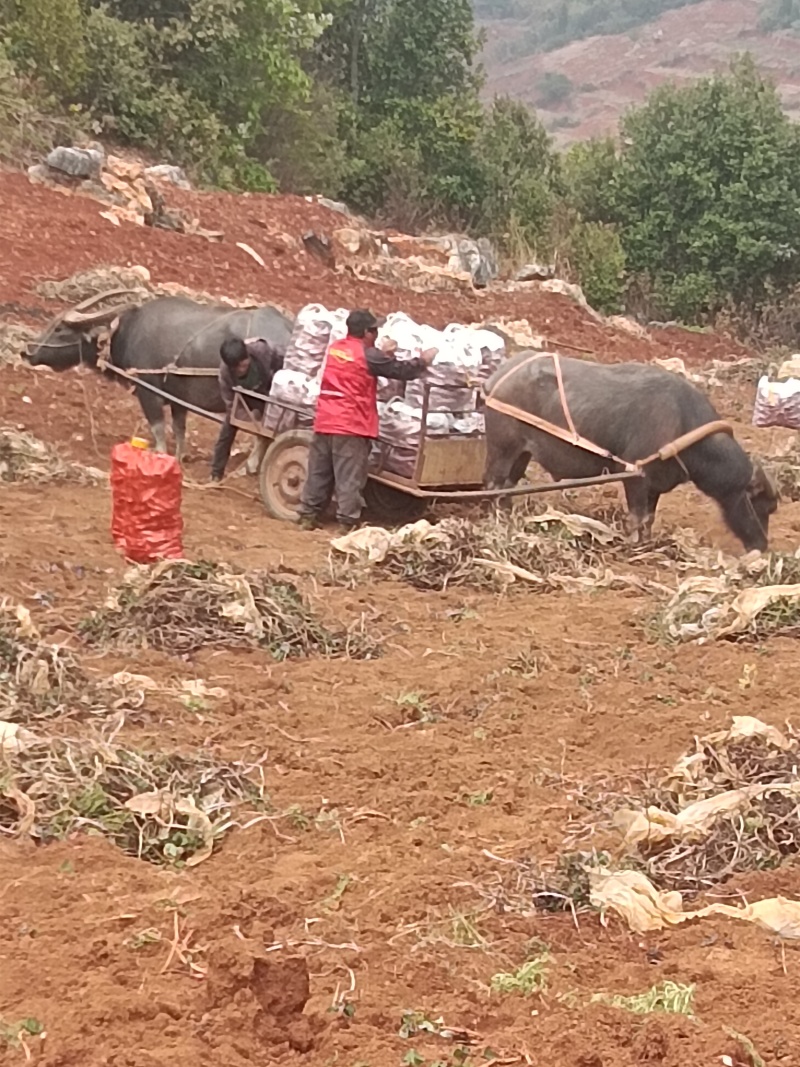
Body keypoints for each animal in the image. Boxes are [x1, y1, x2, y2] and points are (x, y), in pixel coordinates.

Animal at [25, 292, 296, 463]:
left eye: (60, 329)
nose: (27, 350)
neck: (128, 332)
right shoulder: (178, 401)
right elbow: (179, 429)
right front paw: (179, 457)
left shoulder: (148, 393)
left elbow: (157, 429)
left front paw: (159, 455)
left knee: (265, 435)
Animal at [486, 352, 780, 554]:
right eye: (763, 505)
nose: (762, 545)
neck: (681, 427)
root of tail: (496, 378)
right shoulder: (635, 477)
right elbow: (637, 515)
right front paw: (635, 543)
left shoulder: (655, 485)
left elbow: (649, 516)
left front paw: (648, 541)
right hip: (502, 448)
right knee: (494, 484)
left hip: (522, 454)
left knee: (509, 484)